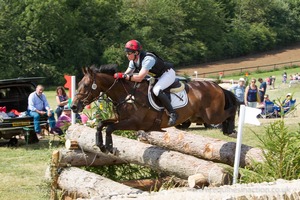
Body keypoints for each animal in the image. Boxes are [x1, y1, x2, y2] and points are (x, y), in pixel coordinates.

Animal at [71, 65, 238, 152]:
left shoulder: (133, 123)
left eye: (86, 86)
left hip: (212, 115)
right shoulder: (119, 119)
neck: (126, 95)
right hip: (200, 115)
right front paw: (100, 145)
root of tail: (217, 86)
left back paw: (230, 129)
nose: (73, 106)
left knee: (231, 109)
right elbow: (101, 124)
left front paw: (109, 147)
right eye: (78, 84)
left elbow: (110, 128)